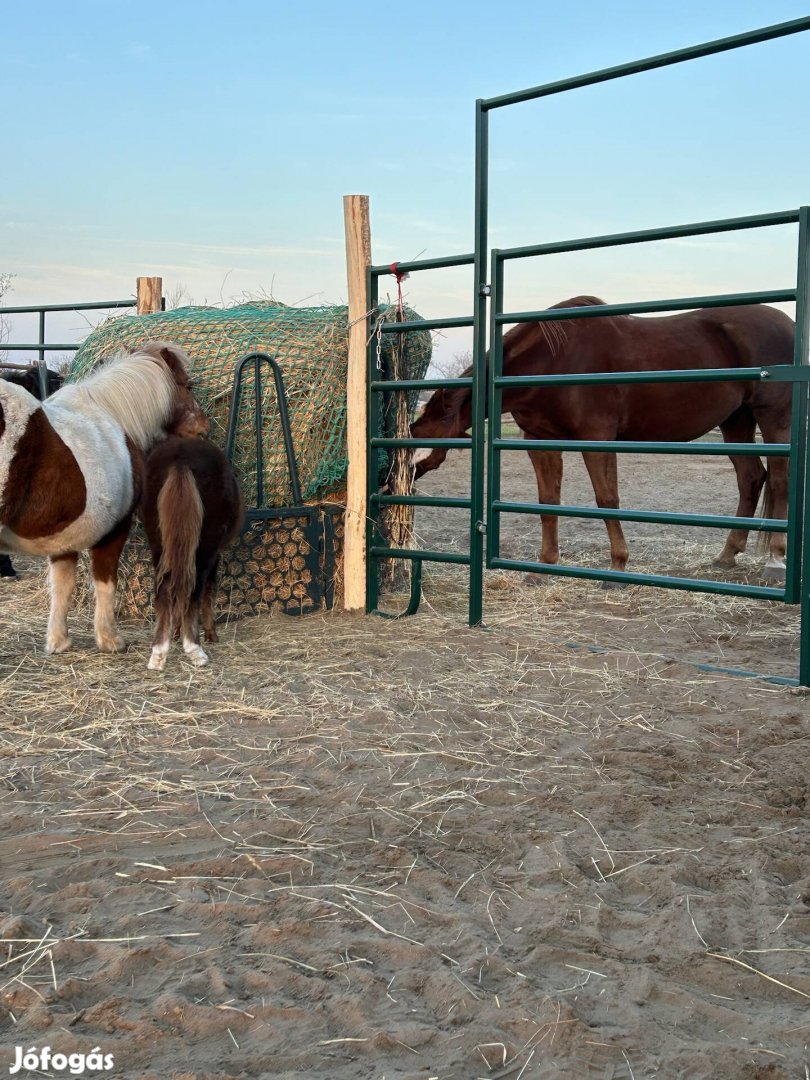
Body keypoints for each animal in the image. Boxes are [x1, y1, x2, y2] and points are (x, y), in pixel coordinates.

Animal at [0, 341, 209, 652]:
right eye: (189, 385)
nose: (203, 429)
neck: (113, 416)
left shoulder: (63, 535)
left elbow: (62, 586)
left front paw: (59, 641)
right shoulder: (115, 529)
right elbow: (105, 581)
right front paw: (109, 638)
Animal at [141, 436, 244, 669]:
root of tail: (181, 460)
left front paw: (175, 633)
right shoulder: (215, 555)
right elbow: (209, 590)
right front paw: (211, 634)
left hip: (160, 544)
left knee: (166, 588)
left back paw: (159, 653)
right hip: (205, 547)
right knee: (193, 588)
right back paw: (194, 648)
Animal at [414, 295, 794, 583]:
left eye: (421, 444)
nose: (401, 481)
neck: (555, 358)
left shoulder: (596, 437)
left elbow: (606, 498)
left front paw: (618, 565)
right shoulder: (539, 440)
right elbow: (547, 502)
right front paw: (543, 568)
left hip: (774, 419)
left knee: (778, 479)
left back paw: (776, 560)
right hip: (736, 422)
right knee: (751, 478)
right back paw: (727, 555)